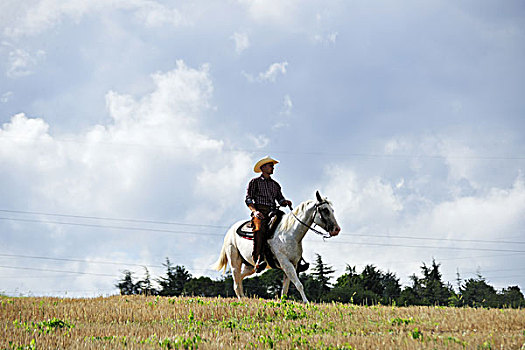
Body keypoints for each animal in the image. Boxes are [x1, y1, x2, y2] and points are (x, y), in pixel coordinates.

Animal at [212, 190, 340, 302]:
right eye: (325, 210)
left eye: (332, 210)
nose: (337, 229)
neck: (289, 233)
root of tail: (230, 231)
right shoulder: (286, 264)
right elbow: (299, 284)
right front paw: (306, 302)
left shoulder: (292, 265)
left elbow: (285, 290)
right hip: (235, 262)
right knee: (236, 281)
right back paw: (241, 299)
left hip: (250, 266)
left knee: (240, 277)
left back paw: (244, 297)